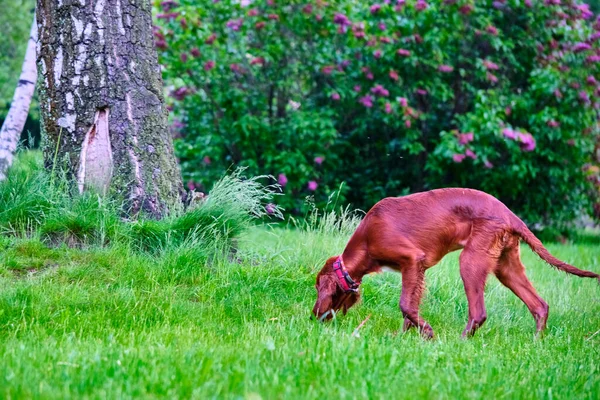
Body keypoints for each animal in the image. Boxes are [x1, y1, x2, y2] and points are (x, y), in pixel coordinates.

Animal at [312, 189, 596, 340]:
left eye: (317, 289)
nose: (313, 315)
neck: (367, 239)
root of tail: (510, 215)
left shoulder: (412, 260)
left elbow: (405, 305)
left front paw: (427, 333)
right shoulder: (416, 269)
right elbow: (410, 307)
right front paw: (404, 337)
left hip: (469, 261)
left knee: (479, 313)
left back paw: (459, 342)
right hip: (506, 267)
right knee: (539, 306)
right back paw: (536, 341)